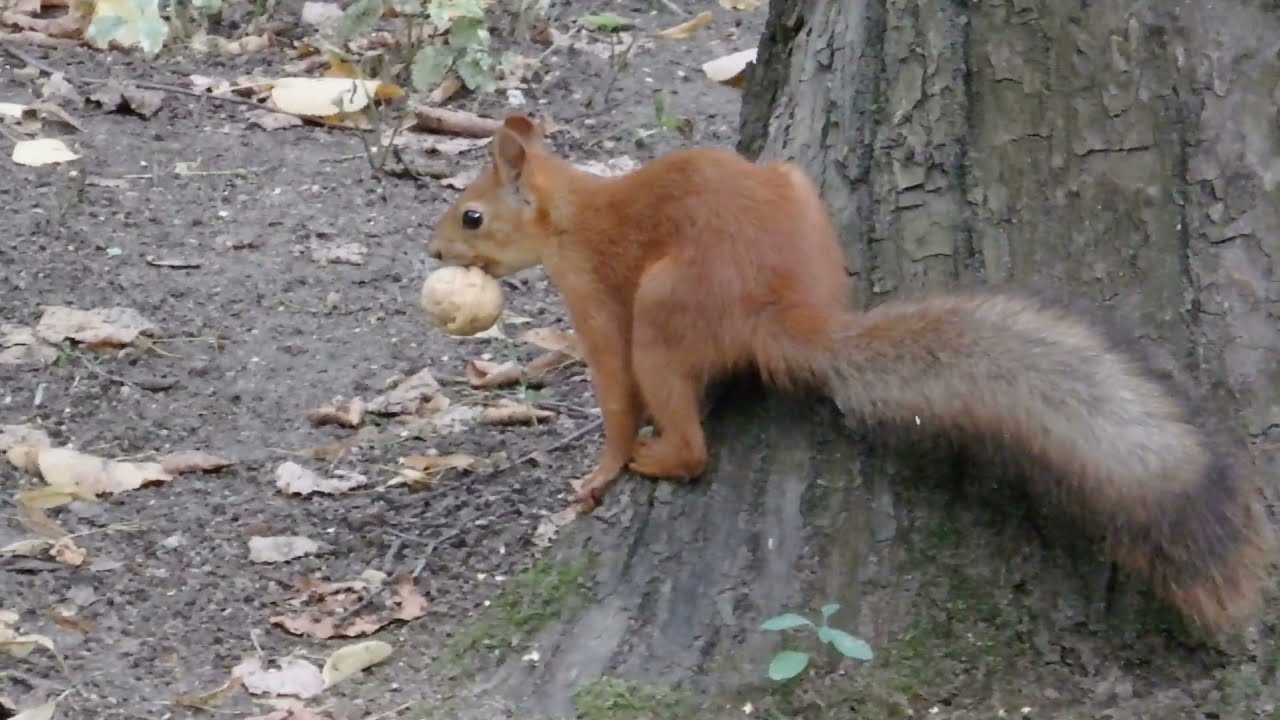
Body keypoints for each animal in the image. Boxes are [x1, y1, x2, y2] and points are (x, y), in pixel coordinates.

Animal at [427, 112, 1269, 632]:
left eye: (472, 215)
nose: (435, 251)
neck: (572, 208)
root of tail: (794, 311)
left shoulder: (595, 296)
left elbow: (612, 393)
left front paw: (599, 473)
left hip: (665, 308)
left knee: (691, 440)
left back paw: (660, 457)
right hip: (795, 186)